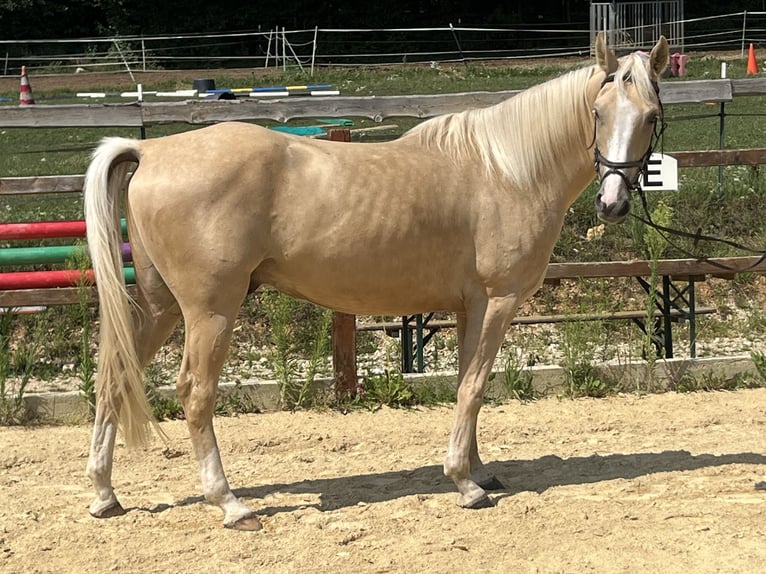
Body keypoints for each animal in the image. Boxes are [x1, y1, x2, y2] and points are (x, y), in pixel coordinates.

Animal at [83, 34, 669, 531]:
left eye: (650, 116)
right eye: (598, 112)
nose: (612, 203)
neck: (505, 170)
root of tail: (152, 151)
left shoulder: (469, 307)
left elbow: (467, 386)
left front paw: (478, 469)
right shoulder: (498, 302)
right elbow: (475, 386)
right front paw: (465, 484)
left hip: (160, 307)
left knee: (116, 374)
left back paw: (105, 494)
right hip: (210, 312)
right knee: (195, 392)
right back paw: (230, 503)